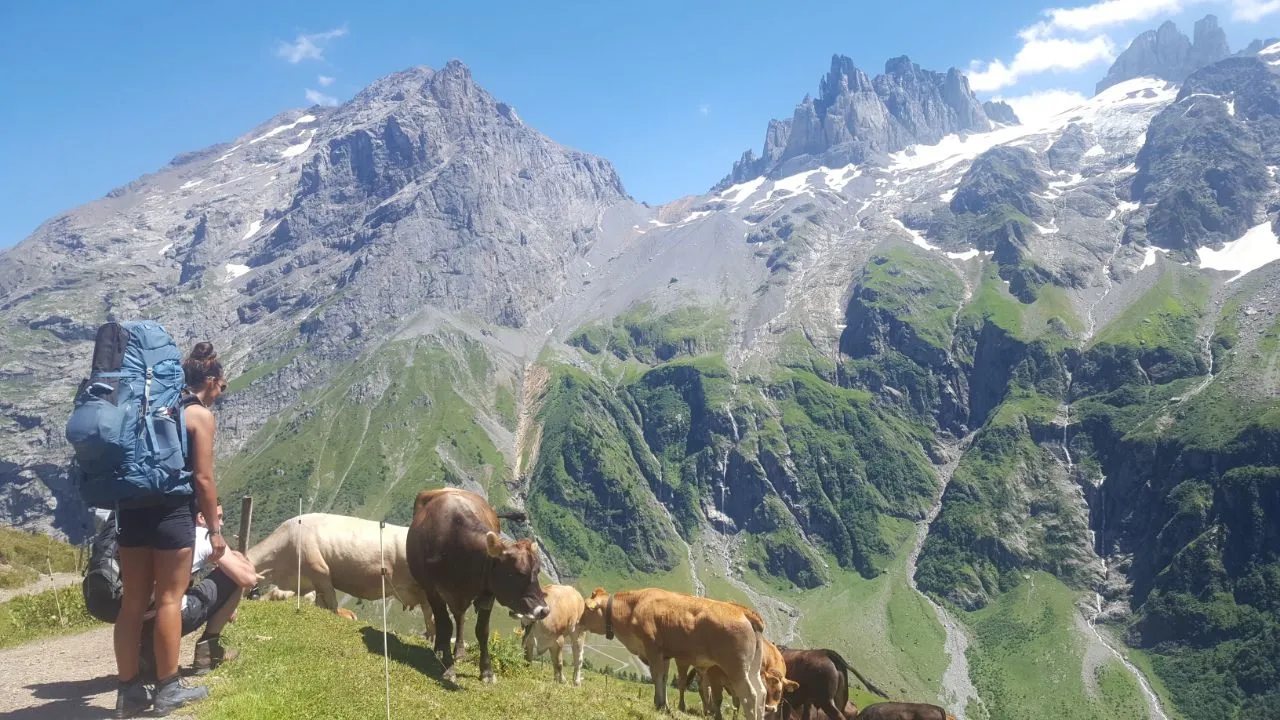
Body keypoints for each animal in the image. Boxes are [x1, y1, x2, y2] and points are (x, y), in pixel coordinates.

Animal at [405, 488, 549, 683]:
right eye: (517, 572)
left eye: (538, 571)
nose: (544, 610)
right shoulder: (433, 591)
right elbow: (445, 625)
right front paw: (448, 668)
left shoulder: (488, 593)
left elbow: (482, 631)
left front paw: (487, 671)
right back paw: (440, 650)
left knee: (460, 617)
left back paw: (458, 651)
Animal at [579, 587, 767, 720]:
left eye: (586, 609)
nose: (578, 622)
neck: (633, 607)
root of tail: (743, 611)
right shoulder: (665, 655)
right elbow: (663, 678)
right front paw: (665, 705)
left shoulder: (653, 649)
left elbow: (656, 676)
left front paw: (658, 703)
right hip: (752, 668)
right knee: (762, 692)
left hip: (736, 668)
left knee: (750, 696)